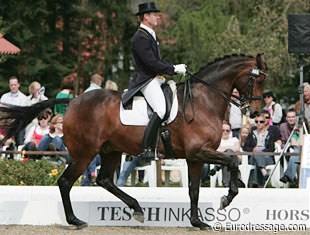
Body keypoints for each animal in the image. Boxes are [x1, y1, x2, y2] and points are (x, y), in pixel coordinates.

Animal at [0, 53, 266, 229]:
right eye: (257, 80)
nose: (255, 113)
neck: (203, 102)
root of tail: (73, 100)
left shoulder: (195, 157)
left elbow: (194, 189)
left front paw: (197, 221)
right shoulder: (200, 151)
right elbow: (233, 162)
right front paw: (226, 199)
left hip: (110, 151)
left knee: (105, 180)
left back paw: (136, 208)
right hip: (85, 153)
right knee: (66, 182)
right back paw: (75, 220)